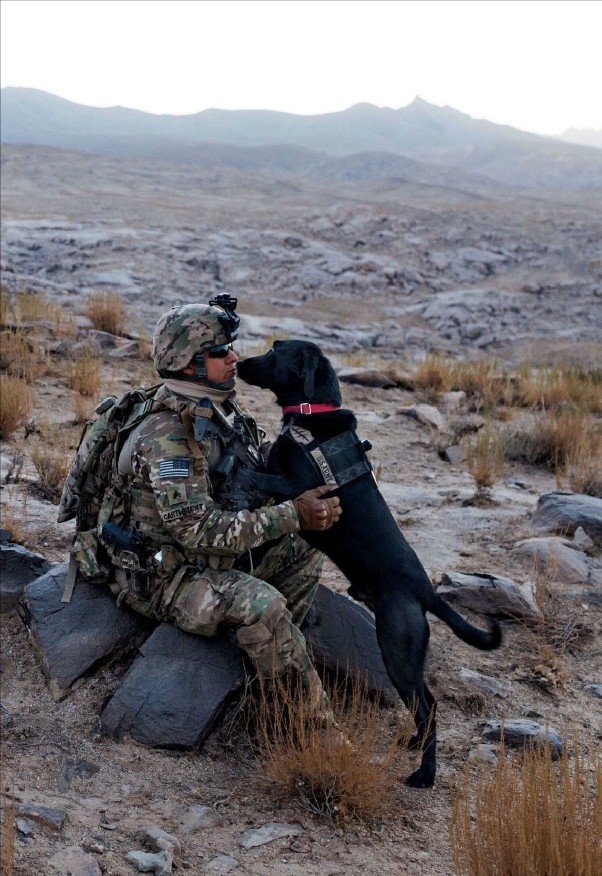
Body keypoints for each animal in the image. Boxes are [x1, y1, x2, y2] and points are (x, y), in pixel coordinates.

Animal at [237, 340, 500, 788]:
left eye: (275, 350)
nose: (238, 362)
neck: (313, 413)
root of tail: (426, 590)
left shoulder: (299, 486)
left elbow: (265, 477)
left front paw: (239, 473)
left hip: (396, 647)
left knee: (428, 706)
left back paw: (425, 773)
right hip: (406, 652)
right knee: (428, 702)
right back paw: (414, 745)